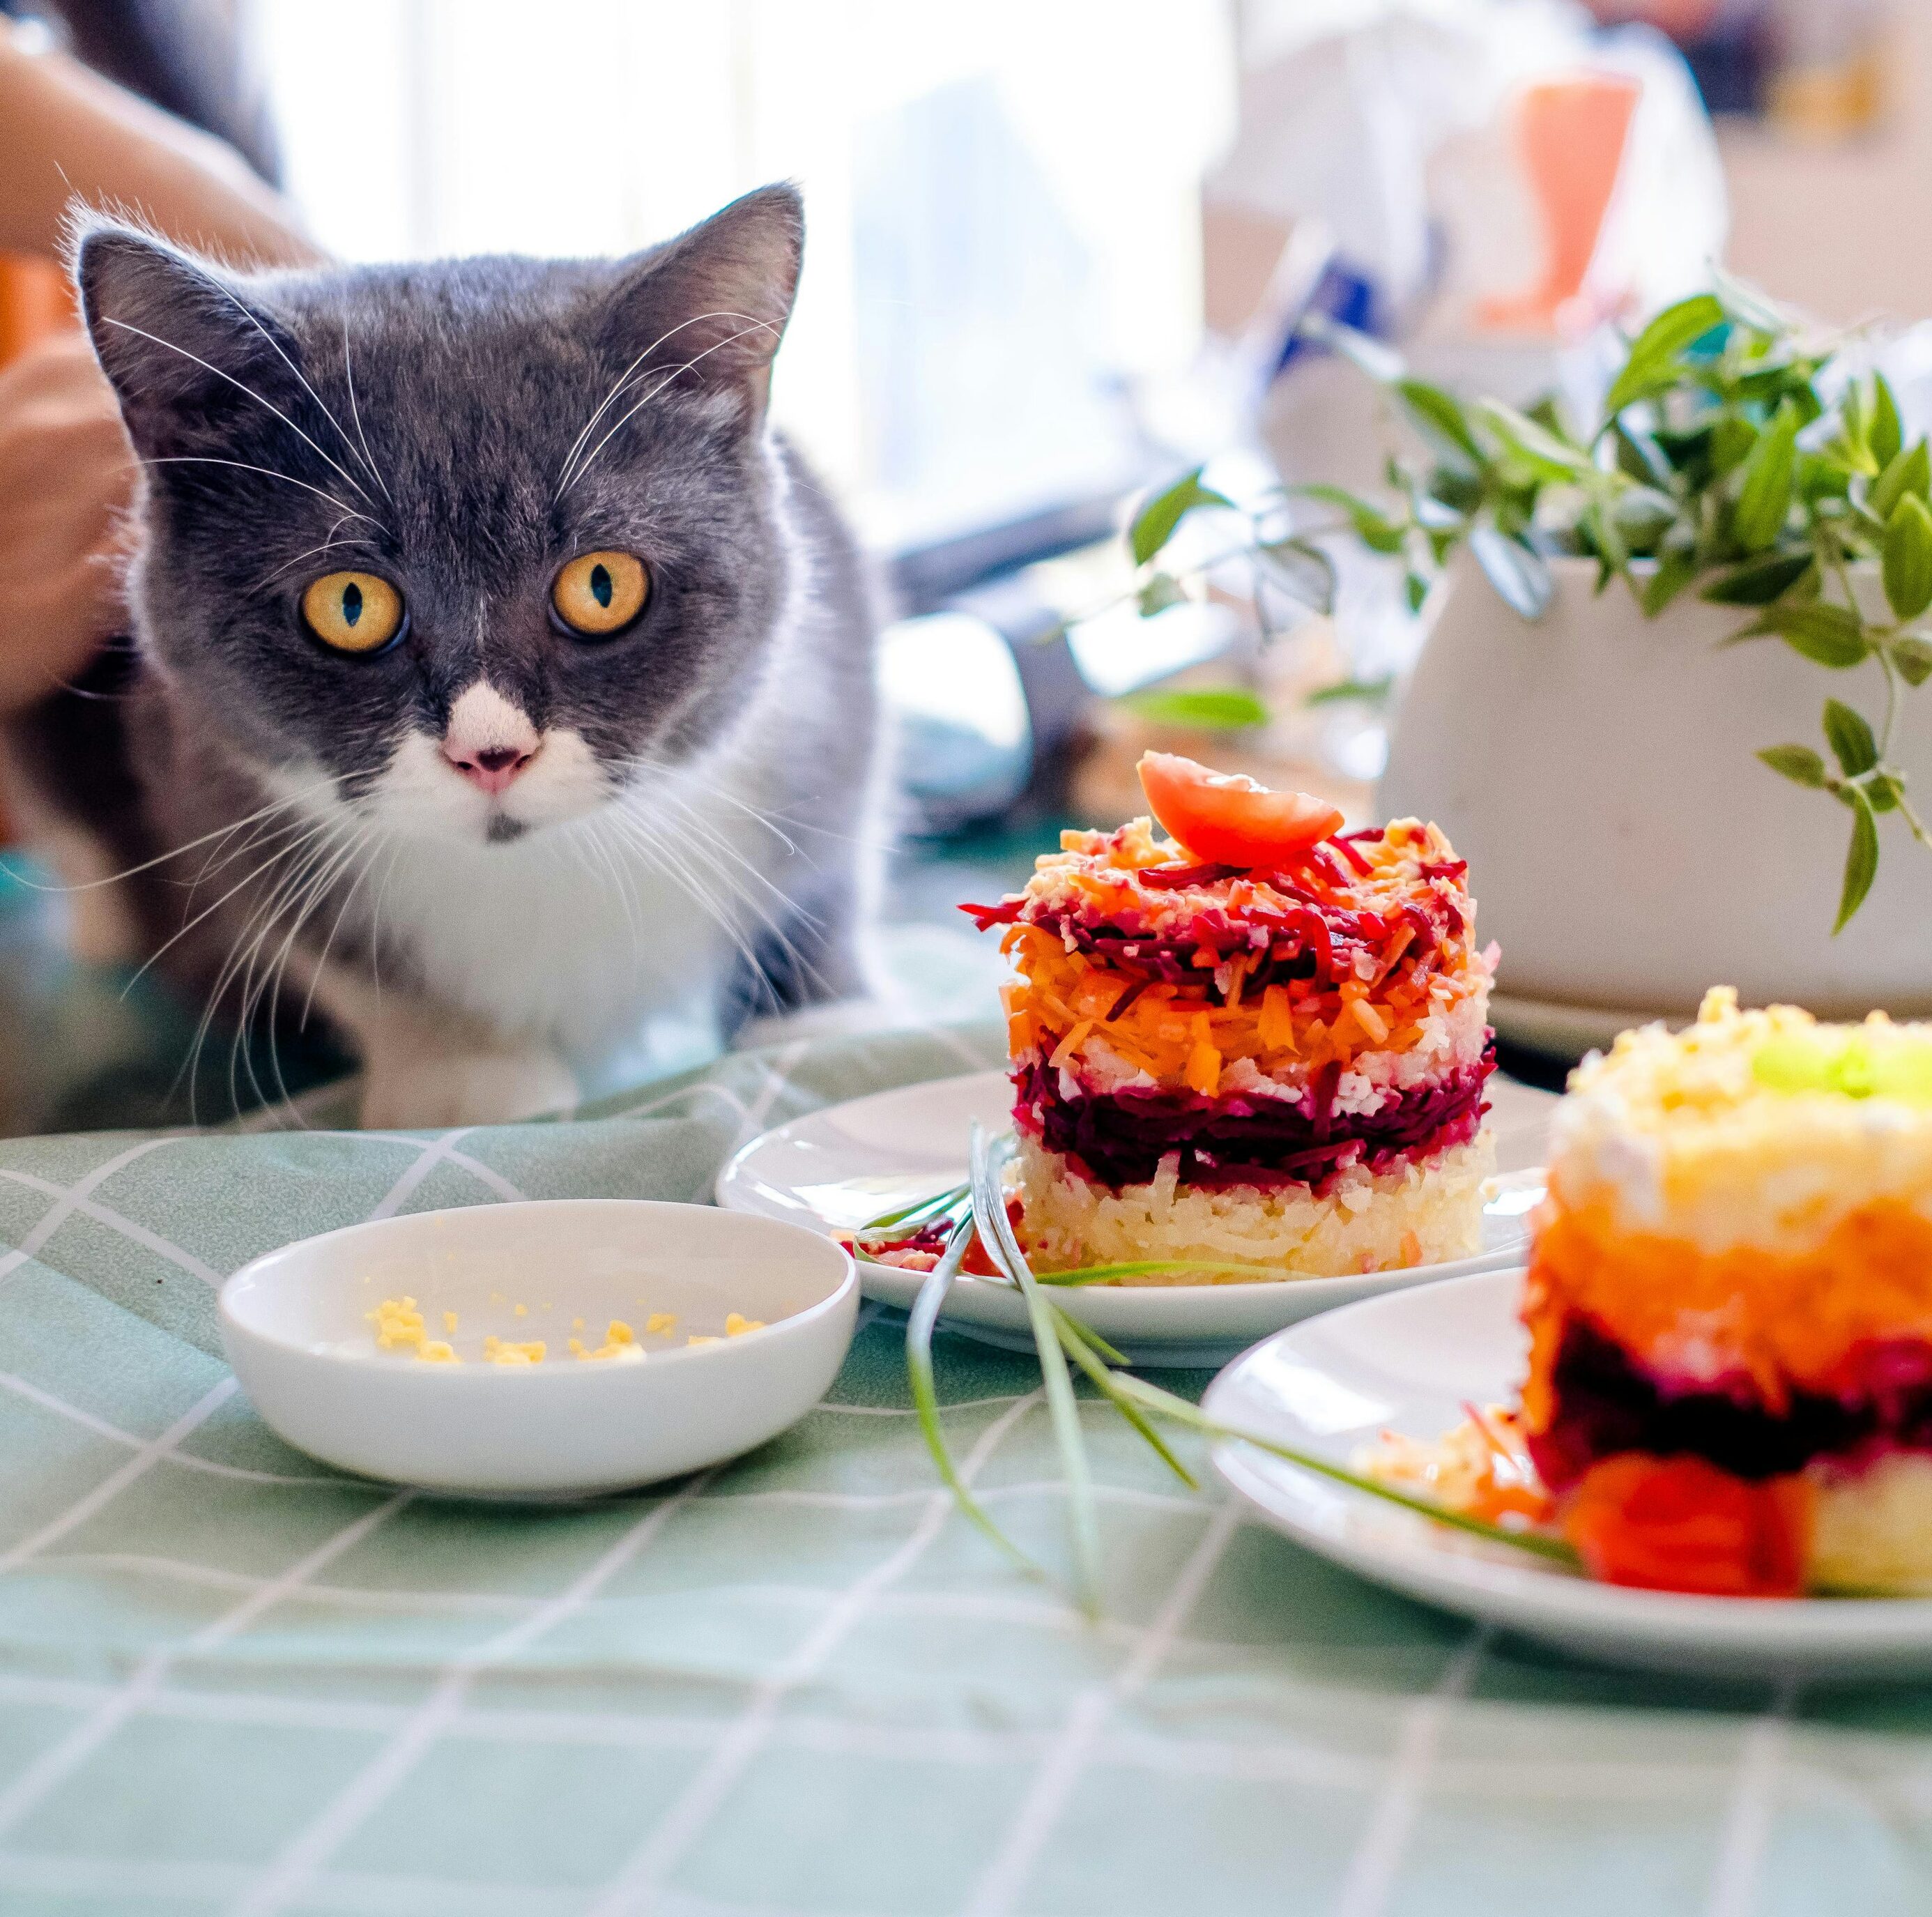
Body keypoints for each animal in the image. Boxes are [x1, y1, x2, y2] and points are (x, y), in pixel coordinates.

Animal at [7, 183, 881, 1120]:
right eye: (350, 604)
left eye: (602, 585)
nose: (491, 753)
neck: (545, 868)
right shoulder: (198, 770)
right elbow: (330, 949)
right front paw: (467, 1075)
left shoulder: (832, 681)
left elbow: (828, 864)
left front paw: (821, 1020)